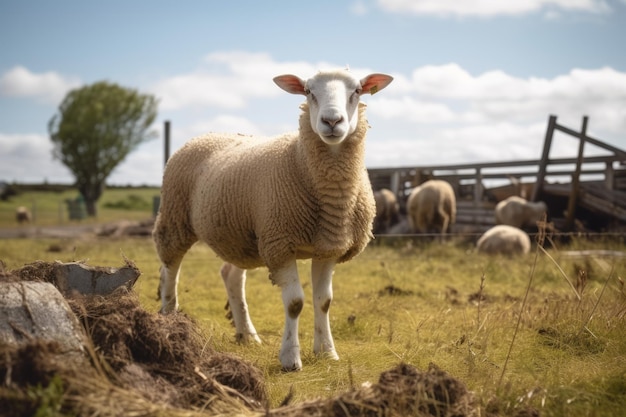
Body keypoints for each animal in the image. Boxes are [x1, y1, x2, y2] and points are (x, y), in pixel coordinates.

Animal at [152, 68, 392, 370]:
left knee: (231, 276)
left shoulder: (327, 247)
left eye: (357, 91)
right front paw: (290, 358)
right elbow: (295, 303)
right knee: (169, 268)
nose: (331, 121)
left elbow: (324, 301)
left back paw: (247, 334)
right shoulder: (280, 244)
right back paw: (169, 320)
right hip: (175, 216)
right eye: (308, 92)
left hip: (240, 234)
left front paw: (327, 352)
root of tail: (207, 135)